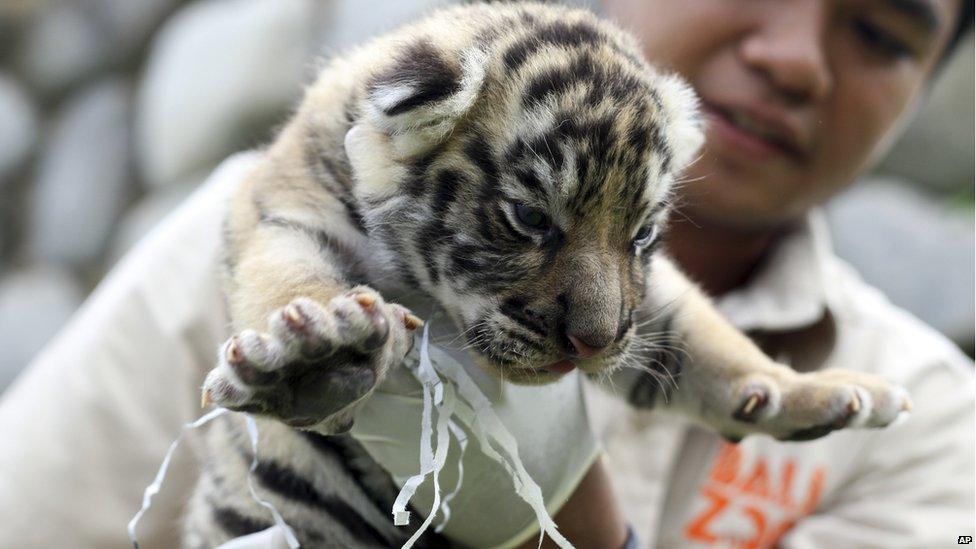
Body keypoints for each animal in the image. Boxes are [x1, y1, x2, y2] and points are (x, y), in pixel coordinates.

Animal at [187, 2, 911, 547]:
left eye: (641, 234)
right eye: (531, 218)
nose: (592, 343)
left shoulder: (643, 307)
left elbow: (707, 341)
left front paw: (820, 392)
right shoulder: (285, 209)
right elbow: (284, 276)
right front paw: (318, 357)